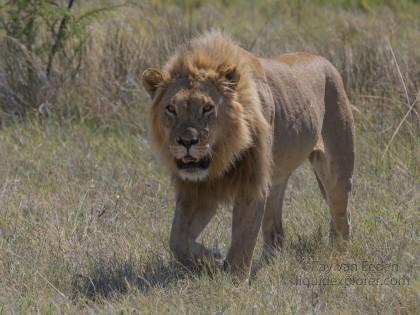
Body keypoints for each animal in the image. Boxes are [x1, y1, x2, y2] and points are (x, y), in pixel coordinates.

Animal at [142, 30, 354, 280]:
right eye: (171, 109)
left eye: (207, 108)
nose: (186, 141)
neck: (221, 156)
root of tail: (325, 61)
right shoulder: (198, 191)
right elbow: (178, 241)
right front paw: (211, 260)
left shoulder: (251, 185)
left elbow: (243, 239)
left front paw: (233, 280)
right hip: (276, 180)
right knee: (275, 231)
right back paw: (271, 261)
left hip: (336, 168)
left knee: (341, 214)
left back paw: (338, 251)